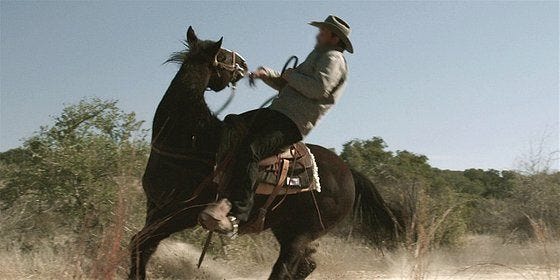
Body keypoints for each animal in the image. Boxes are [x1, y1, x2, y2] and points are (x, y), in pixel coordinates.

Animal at [129, 26, 396, 280]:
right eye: (223, 55)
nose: (245, 64)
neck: (194, 138)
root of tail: (349, 173)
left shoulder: (182, 213)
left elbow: (142, 243)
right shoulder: (155, 208)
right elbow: (141, 246)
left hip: (301, 233)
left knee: (285, 269)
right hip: (286, 228)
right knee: (306, 265)